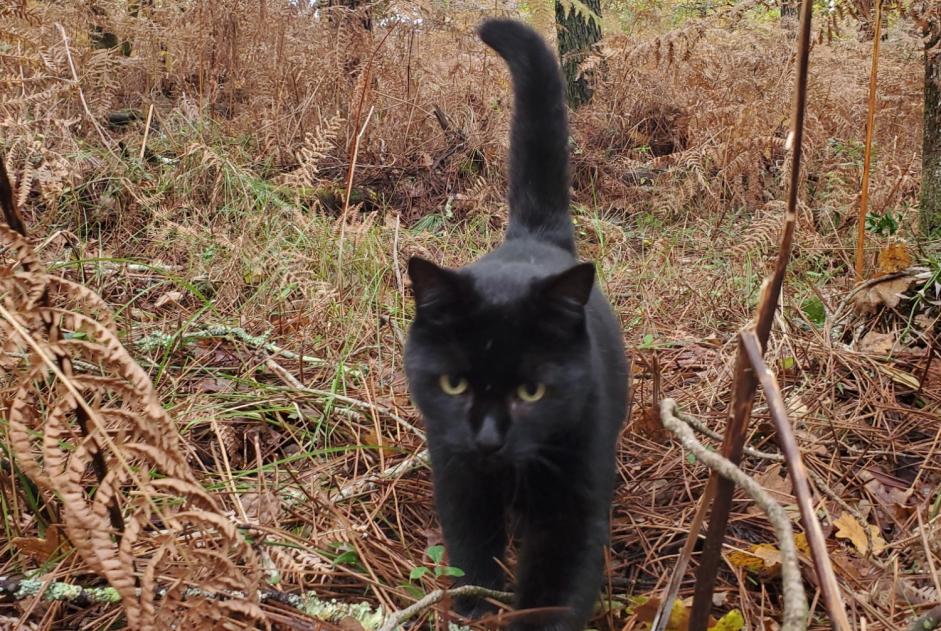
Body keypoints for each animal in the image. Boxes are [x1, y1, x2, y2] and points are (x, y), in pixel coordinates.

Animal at [402, 17, 628, 628]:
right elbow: (471, 554)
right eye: (454, 383)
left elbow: (556, 585)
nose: (487, 439)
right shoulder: (457, 477)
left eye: (532, 391)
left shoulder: (574, 502)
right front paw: (476, 607)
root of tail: (533, 236)